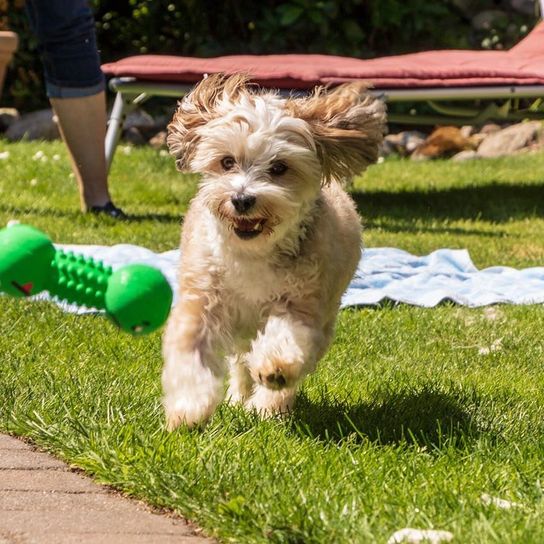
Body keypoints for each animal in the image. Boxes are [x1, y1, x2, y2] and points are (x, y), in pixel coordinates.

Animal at [163, 74, 386, 430]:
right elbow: (191, 352)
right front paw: (188, 409)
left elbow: (285, 341)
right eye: (227, 162)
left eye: (279, 167)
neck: (253, 253)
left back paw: (270, 405)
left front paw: (274, 376)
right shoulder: (202, 299)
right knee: (241, 361)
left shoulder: (301, 303)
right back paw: (240, 397)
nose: (242, 199)